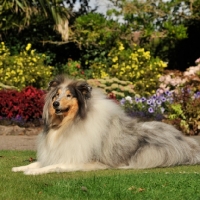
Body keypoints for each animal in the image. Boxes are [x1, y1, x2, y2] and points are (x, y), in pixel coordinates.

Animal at [12, 75, 200, 175]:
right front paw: (20, 167)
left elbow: (54, 165)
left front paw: (33, 172)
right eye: (56, 95)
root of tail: (187, 142)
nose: (56, 104)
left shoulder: (79, 159)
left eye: (69, 95)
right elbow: (39, 162)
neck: (69, 124)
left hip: (150, 153)